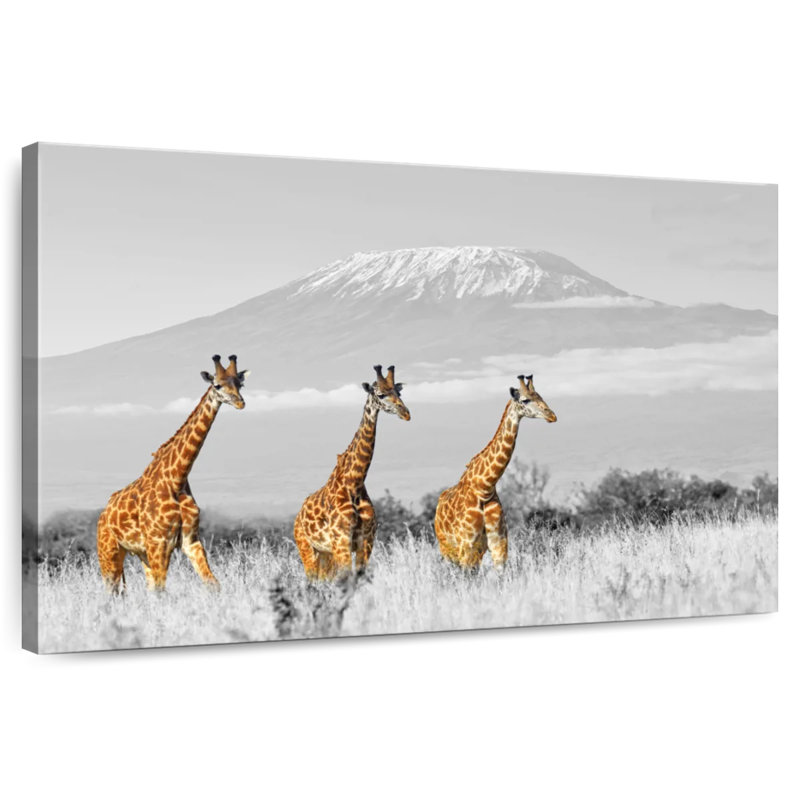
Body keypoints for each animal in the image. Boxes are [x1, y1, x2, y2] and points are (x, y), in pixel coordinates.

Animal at [96, 354, 250, 592]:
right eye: (217, 385)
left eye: (239, 384)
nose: (240, 402)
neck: (177, 479)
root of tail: (103, 515)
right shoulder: (159, 542)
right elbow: (162, 590)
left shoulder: (190, 540)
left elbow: (212, 584)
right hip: (110, 550)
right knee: (112, 590)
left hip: (141, 553)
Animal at [293, 364, 411, 580]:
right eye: (381, 394)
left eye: (398, 393)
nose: (405, 413)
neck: (354, 482)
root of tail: (298, 516)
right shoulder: (342, 542)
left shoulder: (366, 540)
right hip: (307, 548)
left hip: (326, 554)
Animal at [434, 374, 556, 571]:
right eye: (525, 400)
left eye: (540, 396)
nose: (551, 415)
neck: (485, 487)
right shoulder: (467, 544)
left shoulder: (498, 543)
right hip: (448, 549)